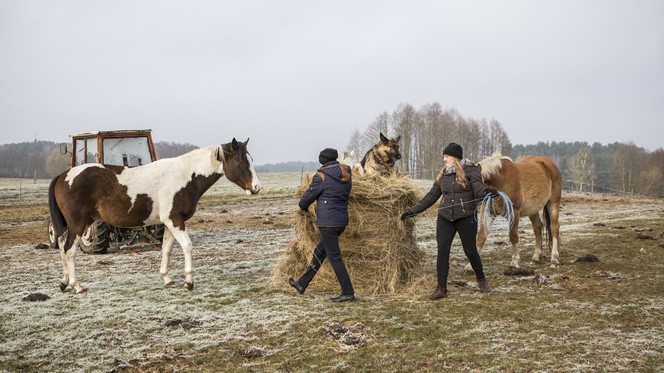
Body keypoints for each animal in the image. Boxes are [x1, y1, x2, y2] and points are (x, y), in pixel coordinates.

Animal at [48, 138, 260, 292]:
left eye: (251, 160)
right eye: (241, 161)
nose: (256, 187)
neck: (184, 175)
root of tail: (63, 175)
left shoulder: (169, 223)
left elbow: (166, 249)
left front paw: (167, 279)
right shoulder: (175, 221)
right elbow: (187, 246)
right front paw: (189, 282)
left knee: (62, 247)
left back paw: (64, 282)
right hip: (78, 224)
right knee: (69, 251)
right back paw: (77, 286)